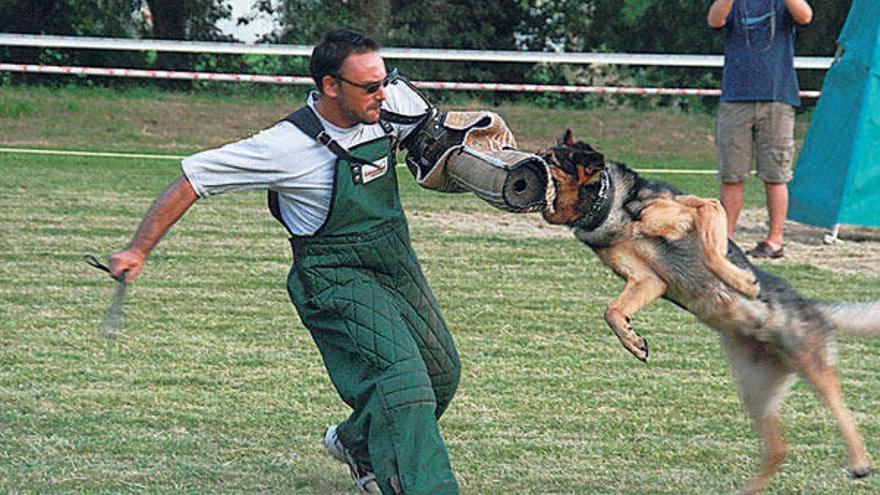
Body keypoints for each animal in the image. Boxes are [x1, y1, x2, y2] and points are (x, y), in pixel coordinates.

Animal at [540, 130, 876, 494]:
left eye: (551, 160)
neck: (613, 203)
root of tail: (812, 306)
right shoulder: (647, 280)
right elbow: (612, 311)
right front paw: (633, 341)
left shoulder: (706, 208)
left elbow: (713, 255)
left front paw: (745, 284)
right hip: (754, 393)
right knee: (778, 449)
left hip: (811, 365)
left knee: (844, 412)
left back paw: (860, 462)